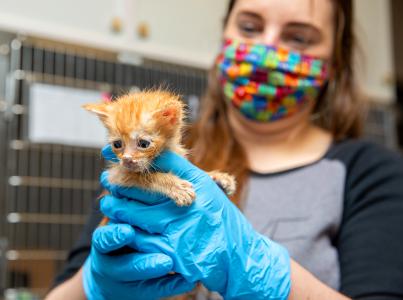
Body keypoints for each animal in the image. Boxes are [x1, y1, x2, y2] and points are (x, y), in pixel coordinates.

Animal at [84, 89, 237, 209]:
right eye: (117, 144)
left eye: (143, 144)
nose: (127, 159)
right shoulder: (117, 175)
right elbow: (147, 176)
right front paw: (177, 187)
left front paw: (217, 176)